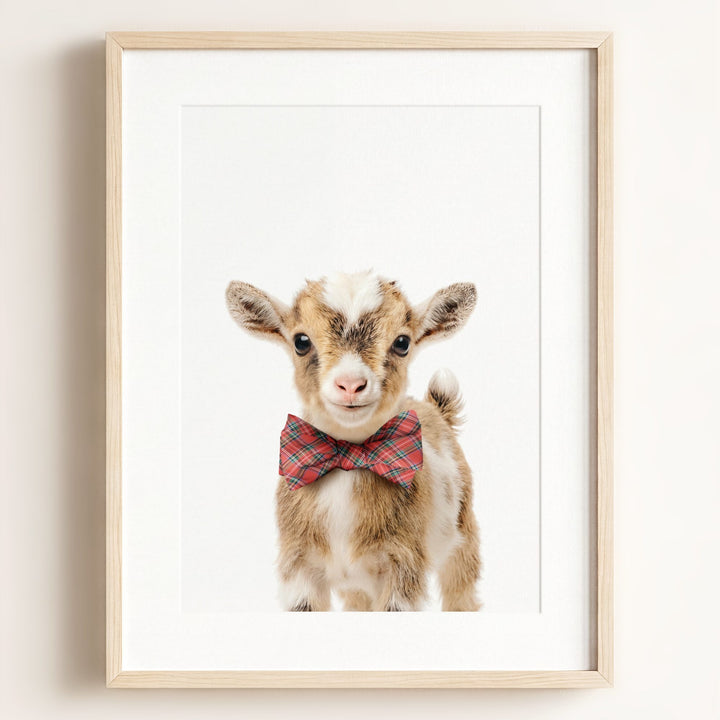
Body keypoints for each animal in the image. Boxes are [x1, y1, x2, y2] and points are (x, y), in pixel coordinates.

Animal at [226, 271, 481, 611]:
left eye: (402, 343)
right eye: (301, 341)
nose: (350, 384)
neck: (349, 458)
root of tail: (436, 408)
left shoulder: (403, 564)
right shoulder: (298, 566)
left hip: (463, 537)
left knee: (462, 591)